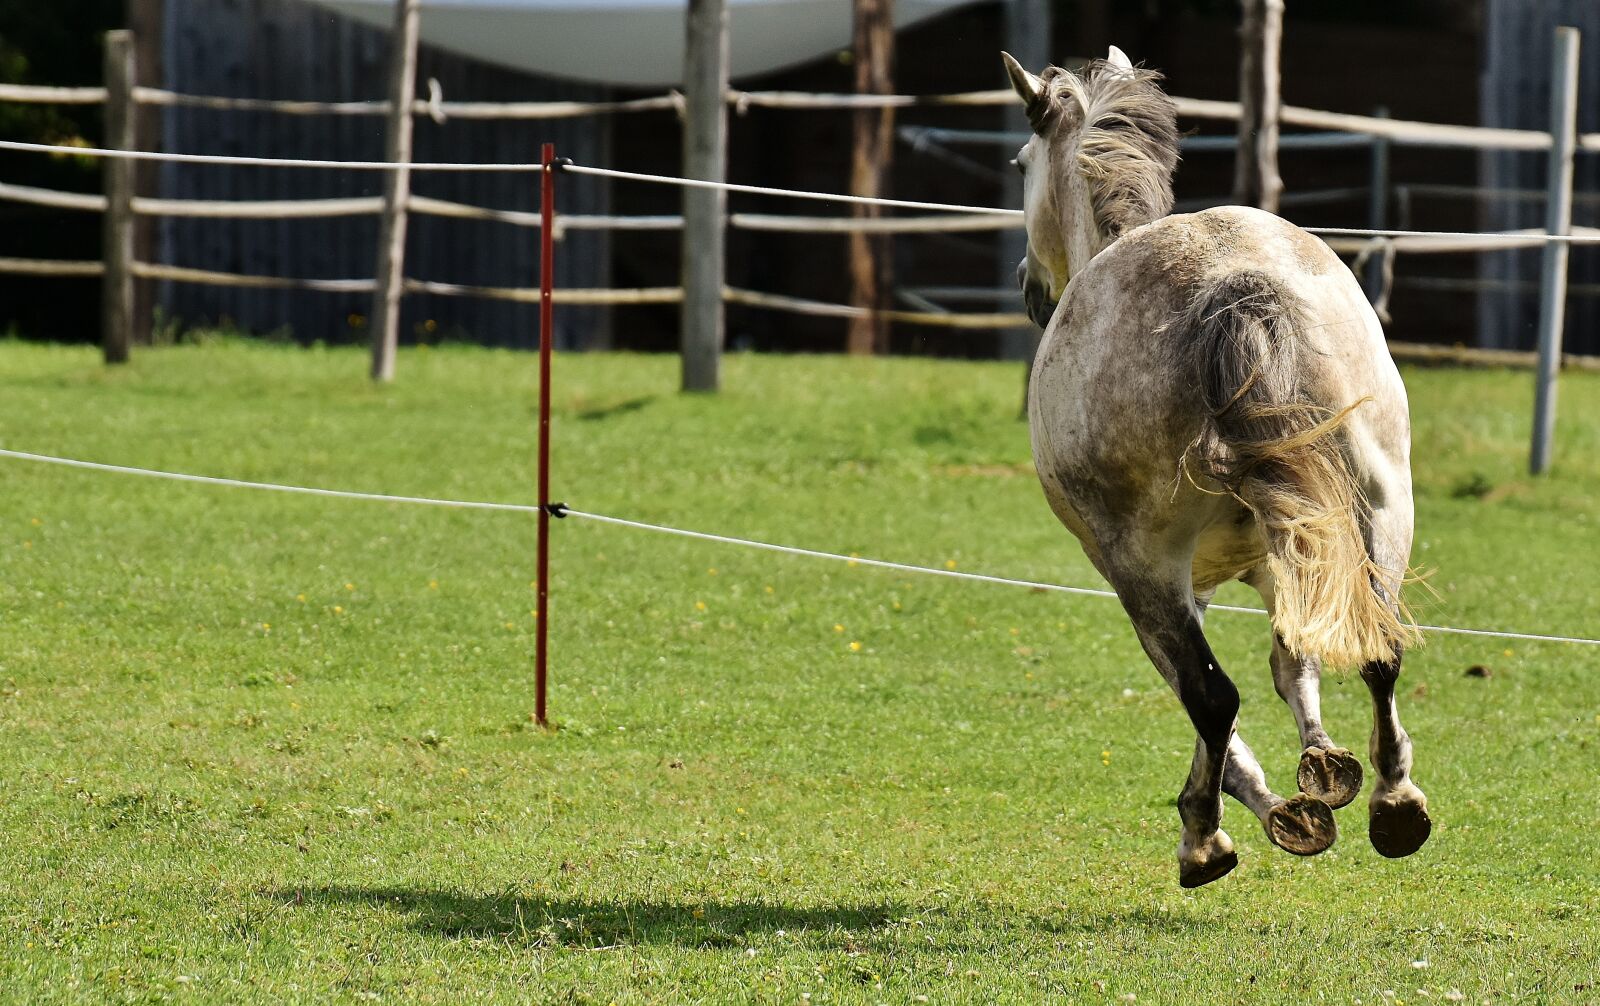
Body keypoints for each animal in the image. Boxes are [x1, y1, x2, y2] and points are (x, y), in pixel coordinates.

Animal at [1002, 47, 1431, 887]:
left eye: (1023, 163)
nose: (1031, 288)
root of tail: (1234, 288)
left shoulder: (1161, 586)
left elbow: (1217, 713)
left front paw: (1264, 807)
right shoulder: (1288, 550)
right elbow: (1296, 665)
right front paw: (1321, 769)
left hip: (1144, 571)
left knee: (1212, 696)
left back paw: (1202, 838)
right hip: (1378, 516)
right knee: (1380, 649)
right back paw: (1396, 803)